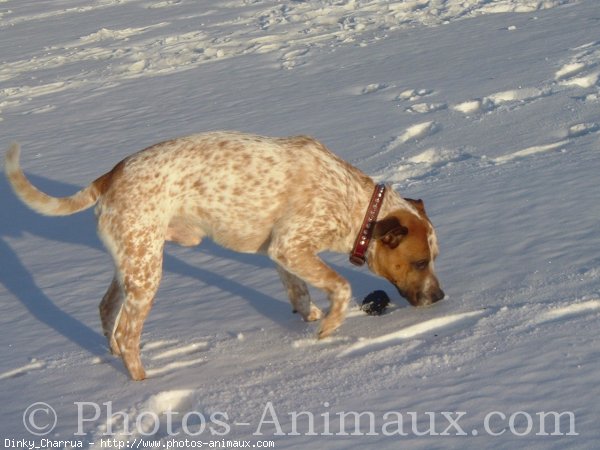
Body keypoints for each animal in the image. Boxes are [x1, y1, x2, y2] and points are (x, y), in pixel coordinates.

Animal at [4, 132, 442, 382]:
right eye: (421, 262)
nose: (439, 297)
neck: (357, 206)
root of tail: (112, 173)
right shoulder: (291, 246)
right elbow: (342, 286)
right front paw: (329, 328)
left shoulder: (281, 252)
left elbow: (299, 292)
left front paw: (309, 317)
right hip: (146, 274)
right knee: (128, 333)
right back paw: (145, 384)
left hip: (131, 262)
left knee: (106, 308)